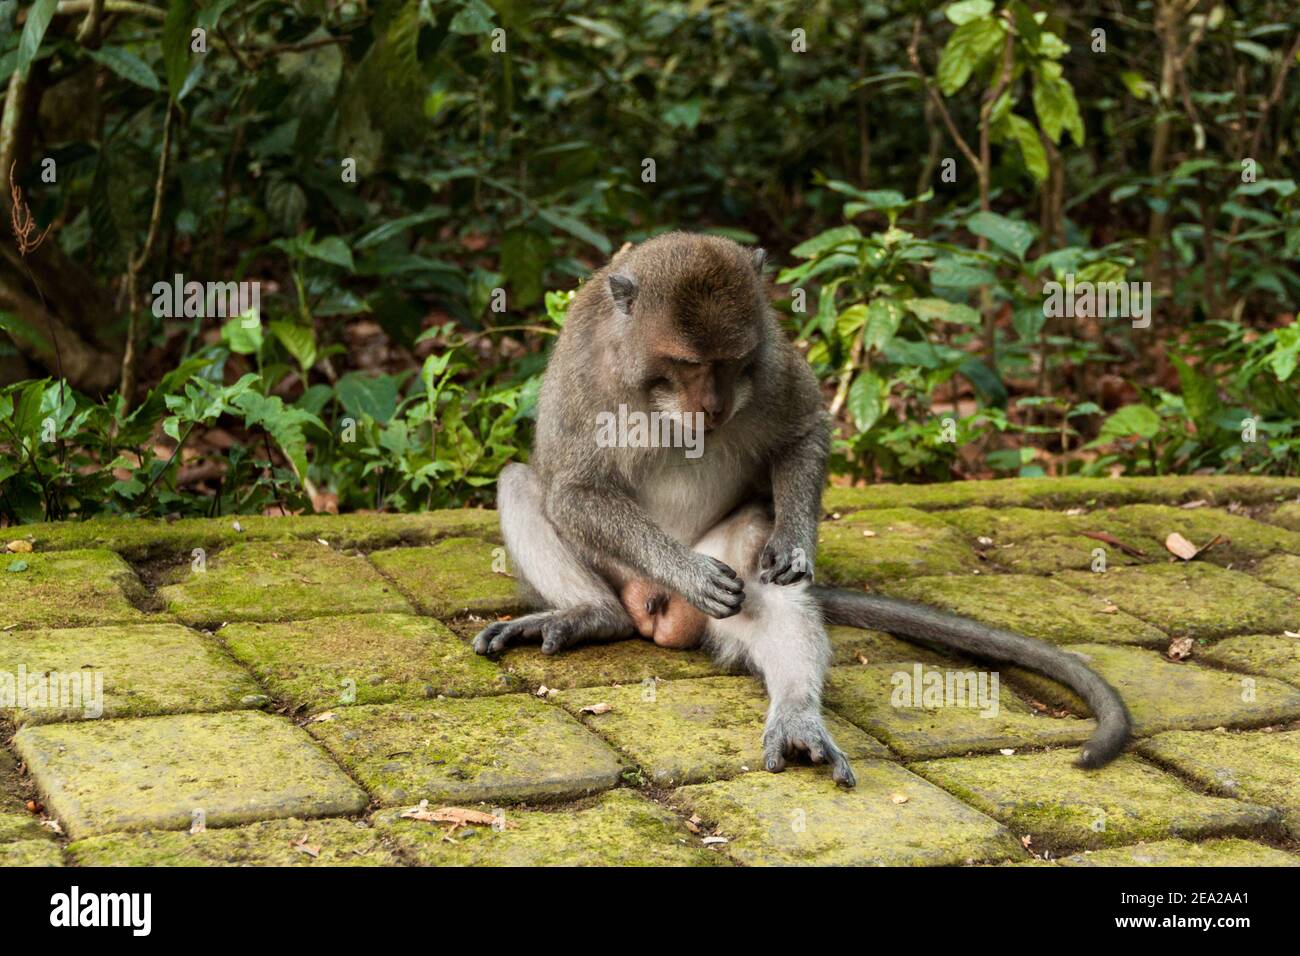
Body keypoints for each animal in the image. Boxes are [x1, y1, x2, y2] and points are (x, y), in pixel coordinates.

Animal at [470, 234, 1128, 785]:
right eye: (688, 364)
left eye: (730, 363)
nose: (713, 405)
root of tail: (654, 610)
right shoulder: (585, 375)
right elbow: (574, 490)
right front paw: (687, 570)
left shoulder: (771, 362)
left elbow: (803, 430)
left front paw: (793, 542)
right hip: (623, 575)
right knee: (521, 483)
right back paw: (593, 614)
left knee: (763, 579)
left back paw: (795, 714)